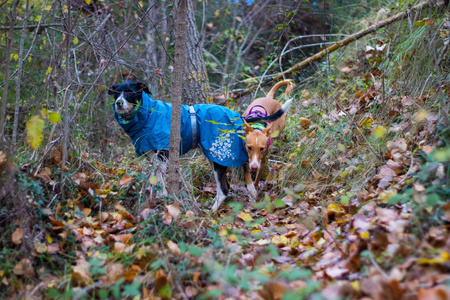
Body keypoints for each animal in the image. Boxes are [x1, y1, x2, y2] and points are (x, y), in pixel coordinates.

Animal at [109, 80, 292, 211]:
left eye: (130, 92)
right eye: (117, 93)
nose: (118, 103)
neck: (148, 114)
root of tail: (239, 117)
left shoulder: (163, 154)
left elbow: (160, 179)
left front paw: (163, 197)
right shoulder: (151, 156)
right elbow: (155, 176)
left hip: (220, 157)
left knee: (224, 189)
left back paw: (211, 213)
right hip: (217, 156)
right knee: (239, 173)